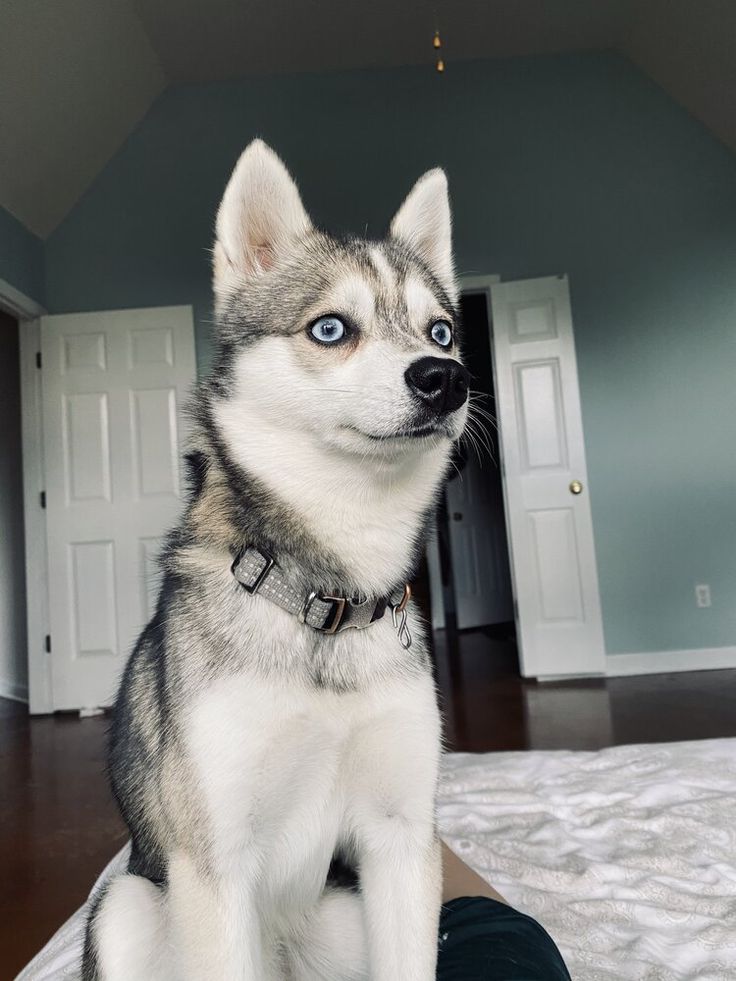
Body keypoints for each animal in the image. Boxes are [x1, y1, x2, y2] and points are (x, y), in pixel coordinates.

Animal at [83, 140, 468, 980]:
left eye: (441, 331)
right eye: (330, 329)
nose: (445, 378)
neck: (326, 597)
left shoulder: (401, 838)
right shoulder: (213, 861)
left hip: (344, 914)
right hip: (128, 905)